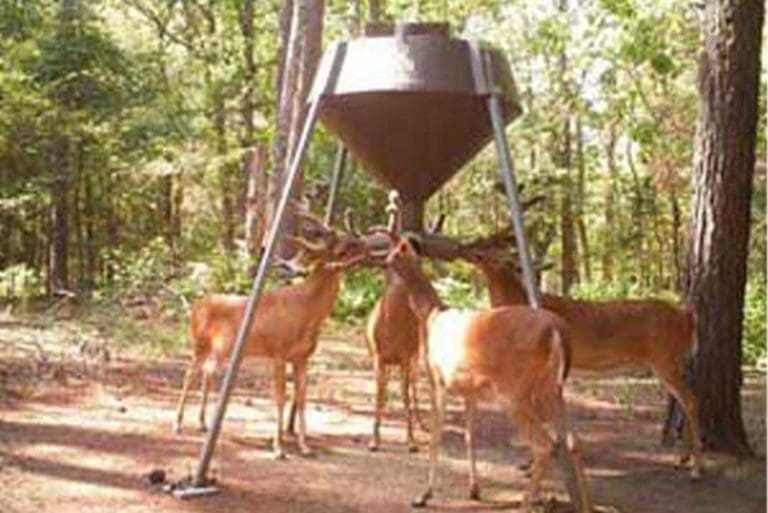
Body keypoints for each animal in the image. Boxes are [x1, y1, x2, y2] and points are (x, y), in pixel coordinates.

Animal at [173, 211, 375, 459]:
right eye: (343, 248)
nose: (367, 245)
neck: (307, 311)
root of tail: (196, 305)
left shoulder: (302, 358)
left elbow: (301, 399)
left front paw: (304, 446)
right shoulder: (278, 352)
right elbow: (280, 398)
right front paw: (278, 447)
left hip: (220, 351)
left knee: (207, 373)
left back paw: (203, 423)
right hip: (199, 344)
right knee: (189, 375)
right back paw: (178, 424)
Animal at [383, 234, 593, 513]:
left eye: (395, 252)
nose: (384, 262)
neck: (431, 316)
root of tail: (558, 330)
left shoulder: (438, 379)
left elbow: (436, 436)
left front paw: (424, 495)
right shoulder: (469, 390)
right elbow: (470, 436)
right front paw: (474, 490)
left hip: (514, 391)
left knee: (545, 445)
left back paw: (526, 504)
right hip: (551, 389)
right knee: (572, 439)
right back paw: (586, 506)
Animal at [458, 229, 702, 479]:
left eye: (490, 243)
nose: (462, 247)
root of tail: (687, 317)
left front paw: (533, 463)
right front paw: (534, 461)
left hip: (665, 360)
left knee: (691, 400)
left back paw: (696, 468)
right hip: (672, 362)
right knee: (686, 402)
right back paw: (682, 458)